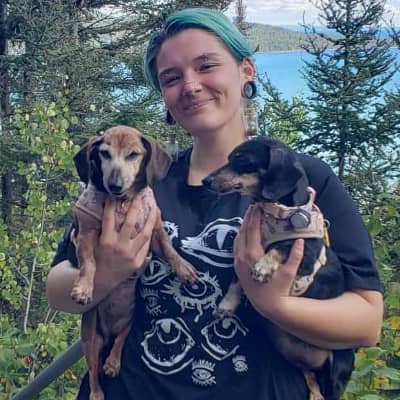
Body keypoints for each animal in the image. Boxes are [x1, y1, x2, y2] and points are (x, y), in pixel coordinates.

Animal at [71, 126, 197, 400]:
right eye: (104, 154)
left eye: (133, 154)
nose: (115, 185)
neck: (123, 202)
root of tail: (106, 334)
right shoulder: (85, 235)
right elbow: (89, 263)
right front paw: (83, 288)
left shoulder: (154, 231)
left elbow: (169, 250)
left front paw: (183, 268)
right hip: (90, 337)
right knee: (93, 370)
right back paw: (97, 391)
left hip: (128, 321)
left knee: (120, 341)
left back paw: (113, 362)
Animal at [203, 136, 354, 400]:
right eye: (229, 157)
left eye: (242, 160)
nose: (206, 180)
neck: (275, 214)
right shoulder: (241, 254)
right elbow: (236, 280)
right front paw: (226, 305)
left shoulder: (305, 257)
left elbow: (280, 248)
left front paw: (263, 267)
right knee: (310, 376)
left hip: (339, 369)